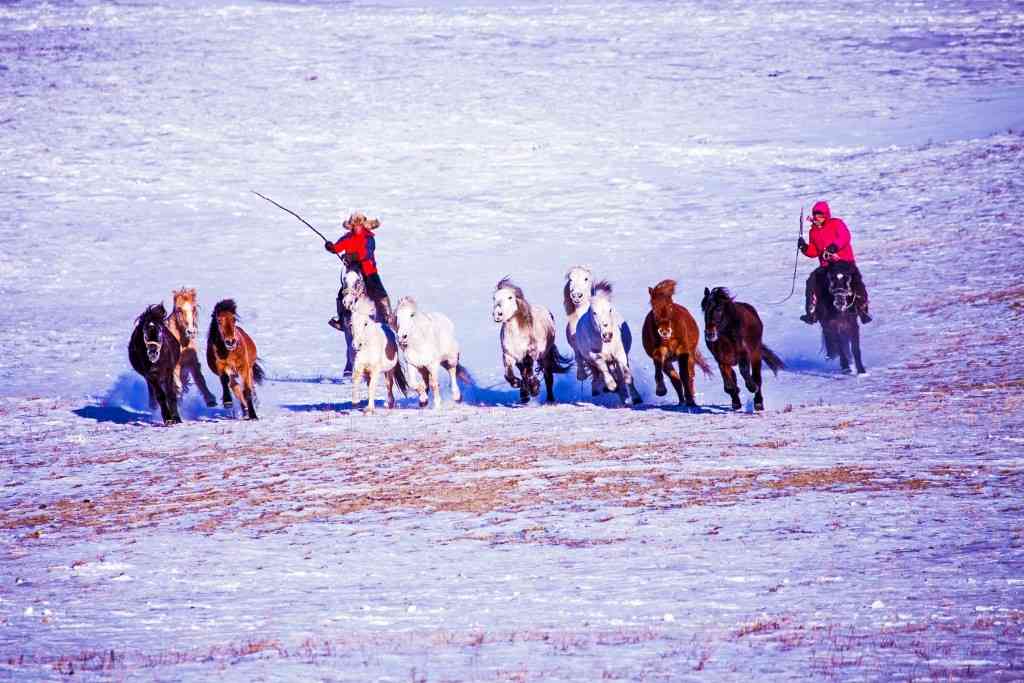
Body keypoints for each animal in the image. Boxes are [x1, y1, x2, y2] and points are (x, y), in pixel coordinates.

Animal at [638, 280, 712, 409]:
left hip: (690, 356)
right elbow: (661, 371)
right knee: (675, 379)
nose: (664, 331)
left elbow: (685, 376)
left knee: (689, 376)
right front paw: (661, 390)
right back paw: (681, 401)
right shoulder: (659, 353)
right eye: (653, 307)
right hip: (669, 361)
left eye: (671, 306)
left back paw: (690, 399)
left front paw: (690, 400)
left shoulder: (683, 352)